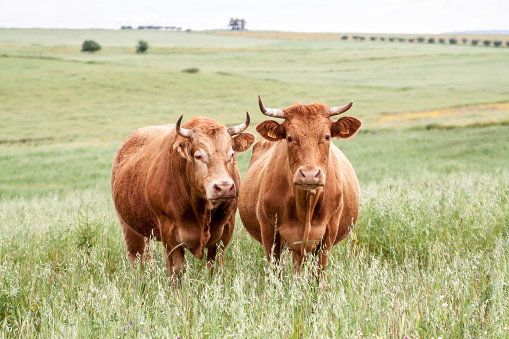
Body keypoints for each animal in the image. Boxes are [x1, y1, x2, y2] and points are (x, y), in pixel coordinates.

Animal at [111, 114, 254, 278]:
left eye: (231, 154)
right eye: (198, 156)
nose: (224, 187)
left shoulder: (225, 231)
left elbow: (214, 268)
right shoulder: (170, 234)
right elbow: (177, 271)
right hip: (129, 227)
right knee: (138, 260)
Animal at [238, 95, 362, 276]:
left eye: (327, 137)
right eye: (290, 138)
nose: (309, 174)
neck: (305, 206)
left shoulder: (328, 234)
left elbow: (318, 273)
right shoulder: (269, 233)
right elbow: (275, 272)